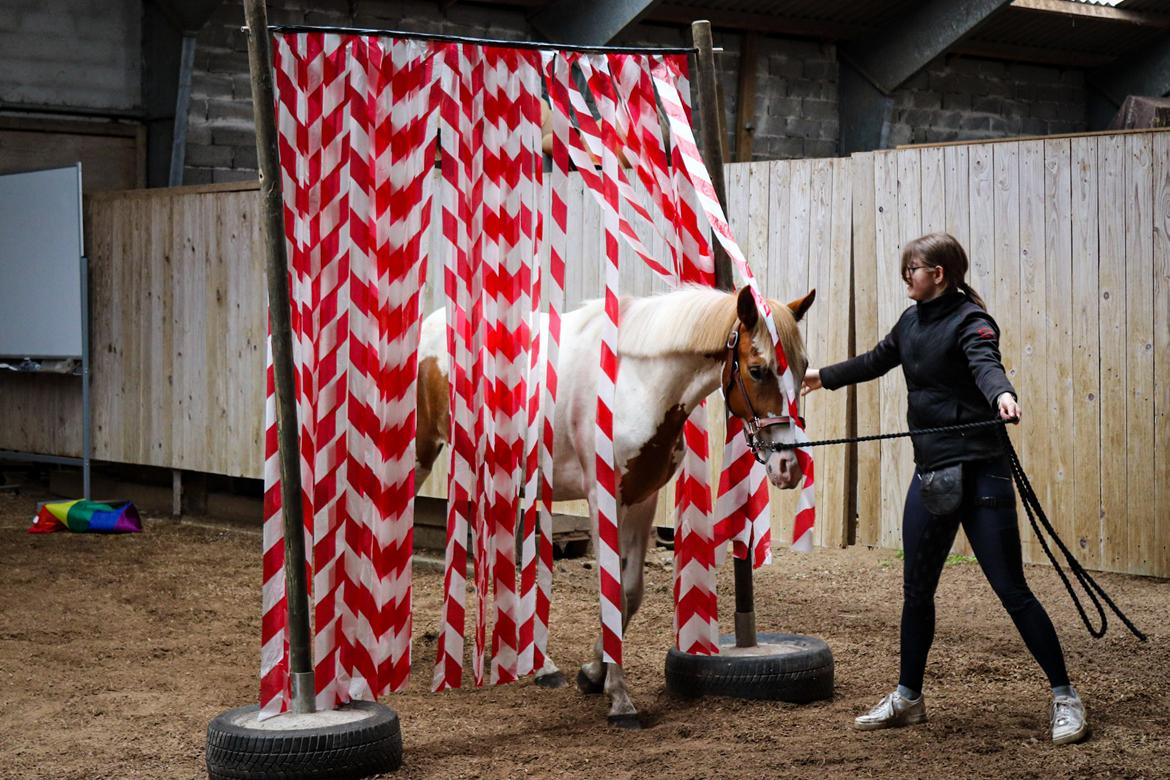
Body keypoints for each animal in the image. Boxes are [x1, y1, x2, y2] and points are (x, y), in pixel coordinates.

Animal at [414, 285, 814, 725]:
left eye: (802, 366)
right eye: (758, 370)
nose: (788, 465)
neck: (635, 383)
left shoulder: (641, 497)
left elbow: (630, 593)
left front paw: (593, 673)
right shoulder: (601, 499)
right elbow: (612, 590)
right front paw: (620, 699)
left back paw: (540, 664)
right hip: (429, 457)